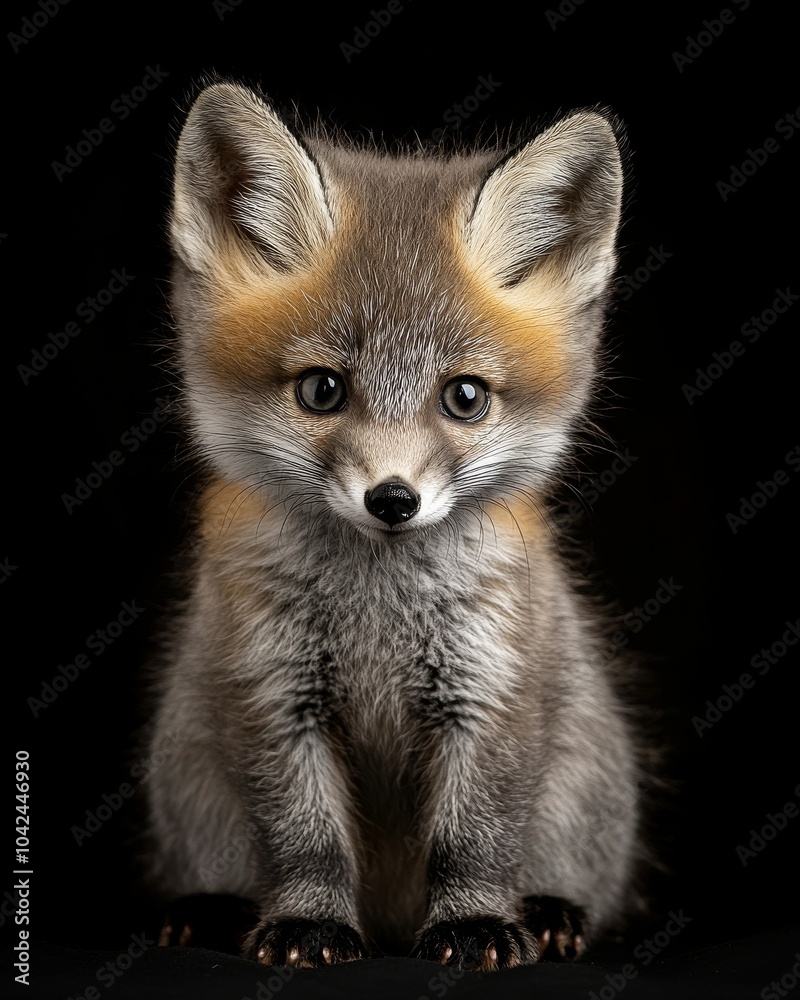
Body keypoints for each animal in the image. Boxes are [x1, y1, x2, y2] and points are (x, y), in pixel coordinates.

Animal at [142, 80, 644, 971]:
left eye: (465, 397)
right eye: (321, 390)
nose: (393, 499)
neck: (377, 611)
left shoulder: (488, 687)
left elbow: (475, 835)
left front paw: (476, 926)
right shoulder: (273, 691)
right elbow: (304, 838)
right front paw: (308, 925)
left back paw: (553, 911)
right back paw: (209, 910)